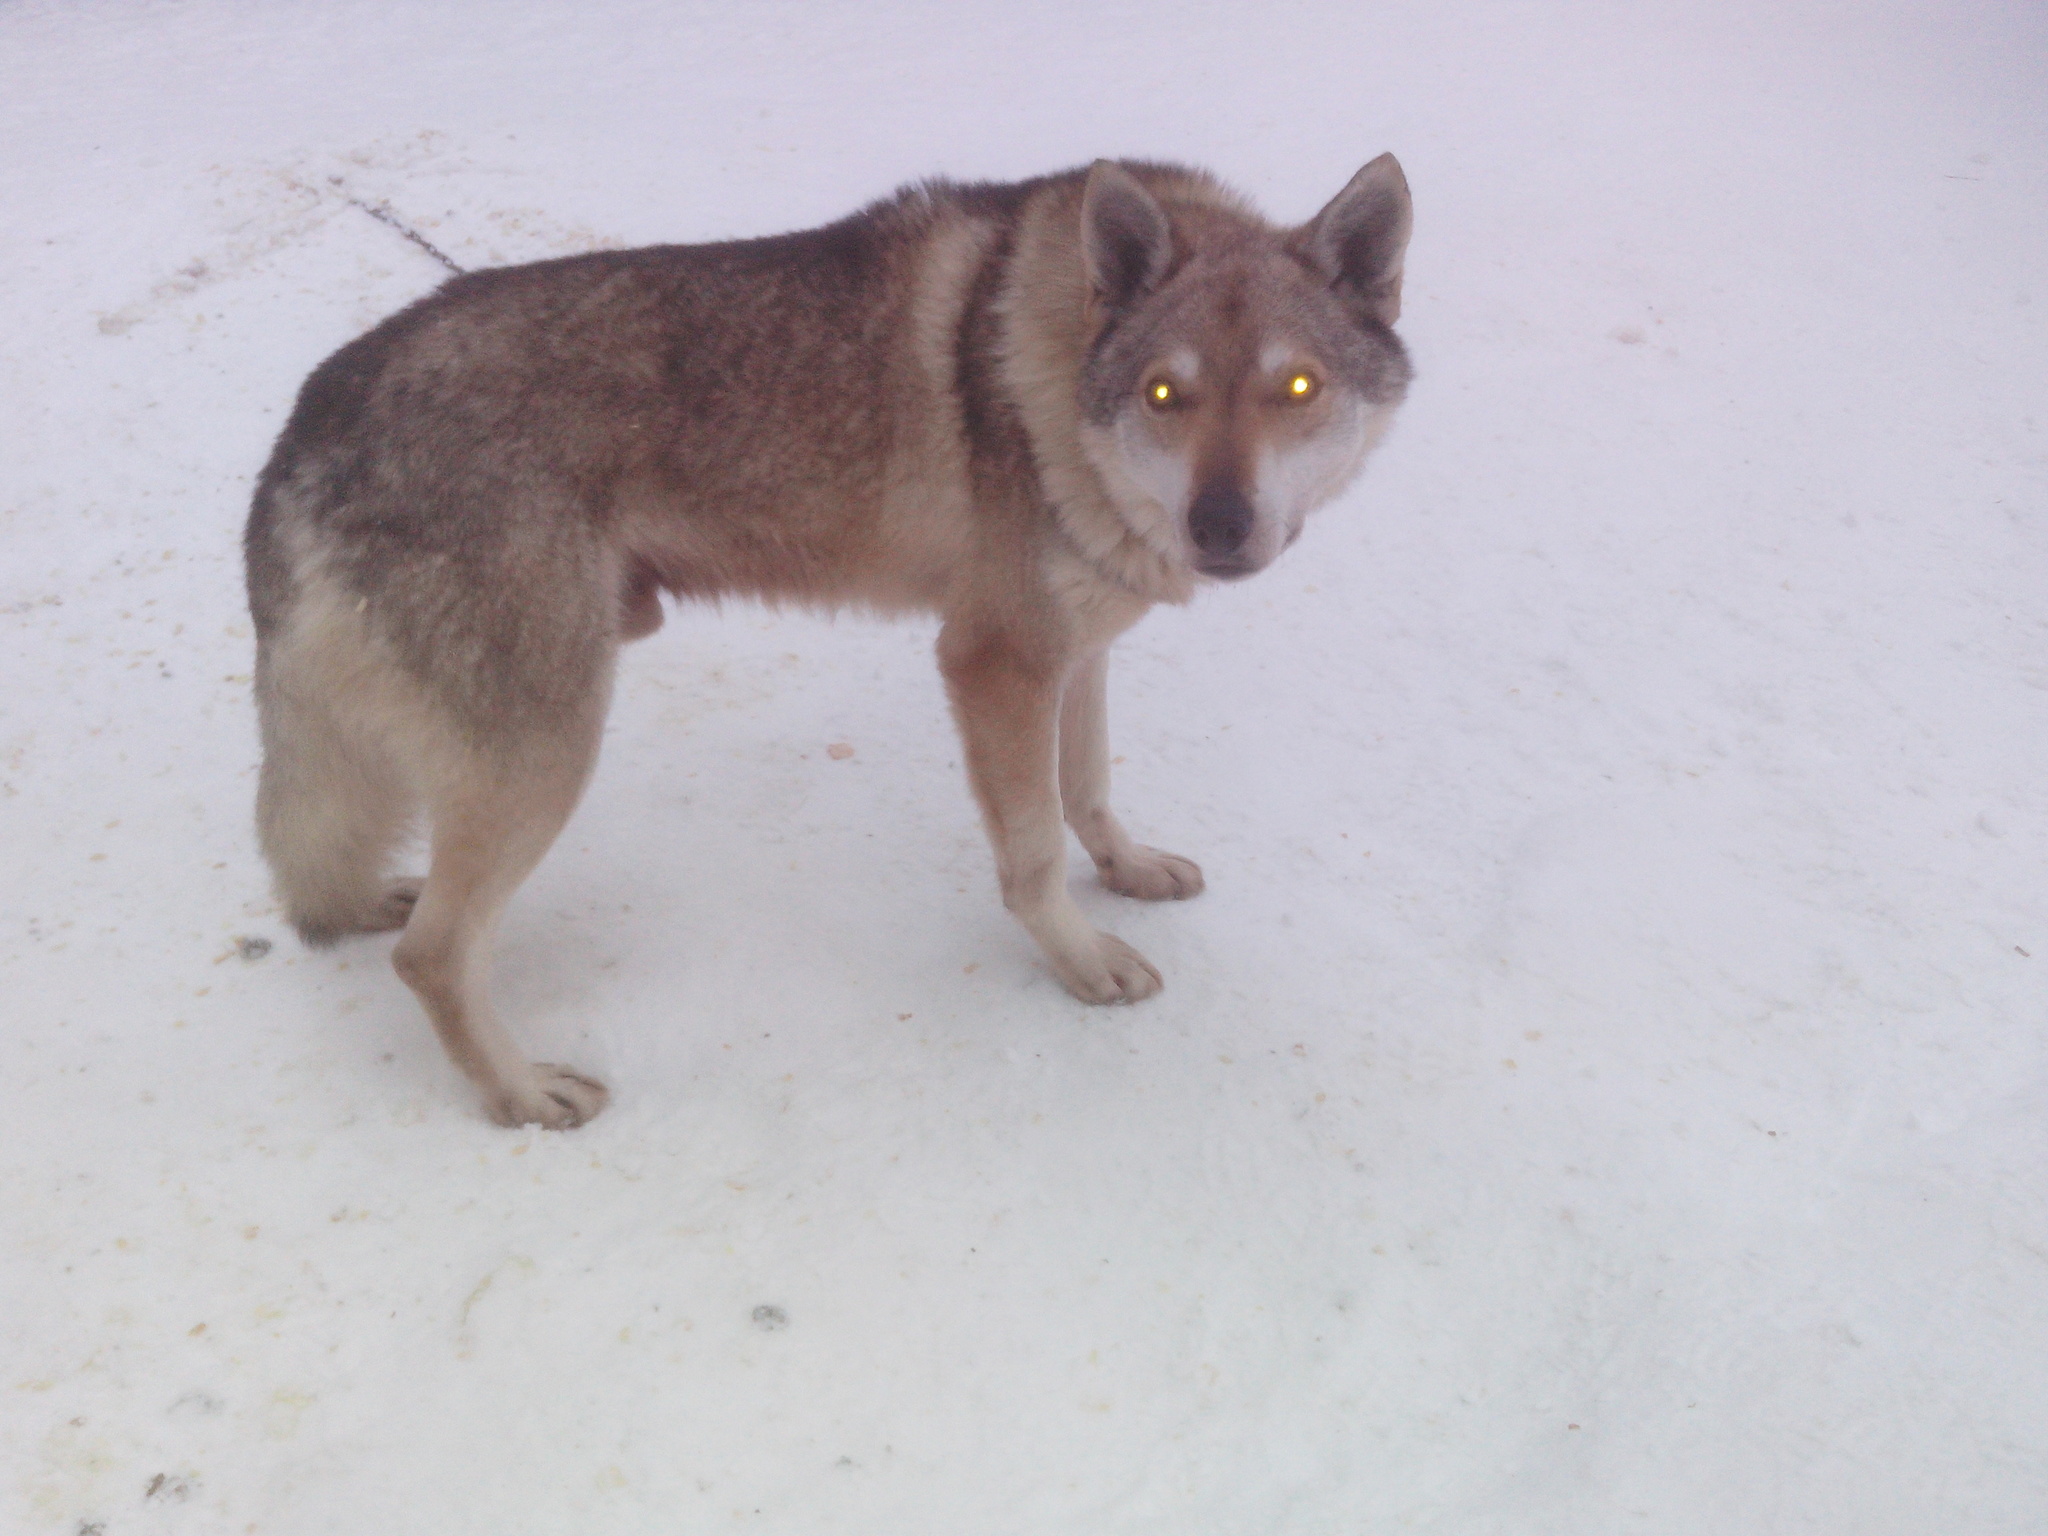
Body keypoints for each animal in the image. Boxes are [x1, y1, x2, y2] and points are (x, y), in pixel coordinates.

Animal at [243, 156, 1409, 1130]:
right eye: (1167, 393)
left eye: (1297, 389)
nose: (1220, 528)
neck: (1053, 381)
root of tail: (311, 415)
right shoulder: (992, 662)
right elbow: (1032, 855)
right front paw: (1083, 967)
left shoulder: (1075, 651)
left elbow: (1089, 790)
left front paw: (1129, 871)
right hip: (546, 751)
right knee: (434, 957)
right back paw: (524, 1095)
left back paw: (378, 910)